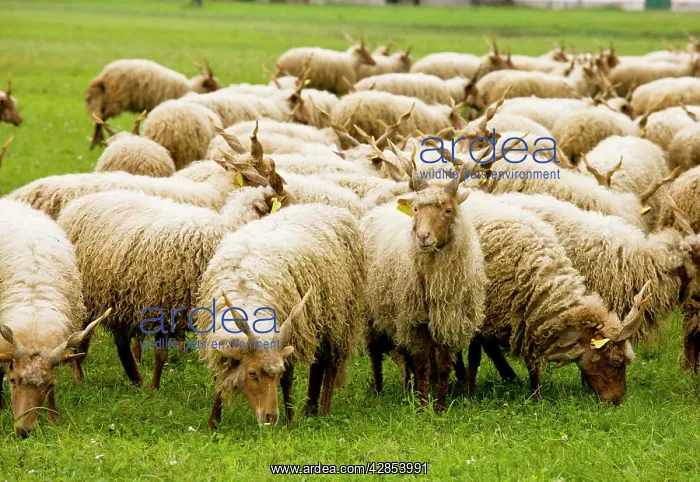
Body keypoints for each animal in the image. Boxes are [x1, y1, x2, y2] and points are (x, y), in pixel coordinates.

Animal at [56, 162, 288, 389]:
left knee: (119, 341)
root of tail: (75, 204)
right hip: (87, 292)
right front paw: (155, 389)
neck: (223, 231)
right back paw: (81, 377)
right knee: (82, 334)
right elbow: (161, 352)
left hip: (118, 294)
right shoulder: (164, 302)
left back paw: (136, 381)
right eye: (281, 201)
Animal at [85, 58, 219, 148]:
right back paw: (95, 143)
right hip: (116, 99)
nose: (220, 91)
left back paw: (96, 142)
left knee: (99, 116)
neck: (189, 88)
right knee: (101, 117)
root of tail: (104, 76)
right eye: (212, 86)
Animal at [197, 203, 364, 427]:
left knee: (330, 363)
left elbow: (287, 381)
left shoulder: (290, 333)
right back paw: (310, 409)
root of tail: (329, 208)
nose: (270, 417)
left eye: (277, 373)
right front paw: (213, 423)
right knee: (317, 364)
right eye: (252, 373)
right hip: (320, 319)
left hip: (340, 316)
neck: (245, 294)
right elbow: (218, 380)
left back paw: (323, 411)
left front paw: (290, 420)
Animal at [362, 171, 487, 412]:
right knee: (374, 352)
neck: (437, 279)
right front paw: (421, 407)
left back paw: (407, 389)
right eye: (416, 209)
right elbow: (422, 365)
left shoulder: (450, 321)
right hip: (373, 313)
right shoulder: (415, 321)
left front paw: (439, 408)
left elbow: (444, 365)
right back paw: (378, 391)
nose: (423, 236)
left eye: (448, 210)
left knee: (405, 355)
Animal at [459, 191, 651, 404]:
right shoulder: (483, 314)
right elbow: (474, 356)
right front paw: (469, 394)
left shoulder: (527, 316)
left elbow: (532, 360)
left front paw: (537, 395)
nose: (618, 400)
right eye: (617, 360)